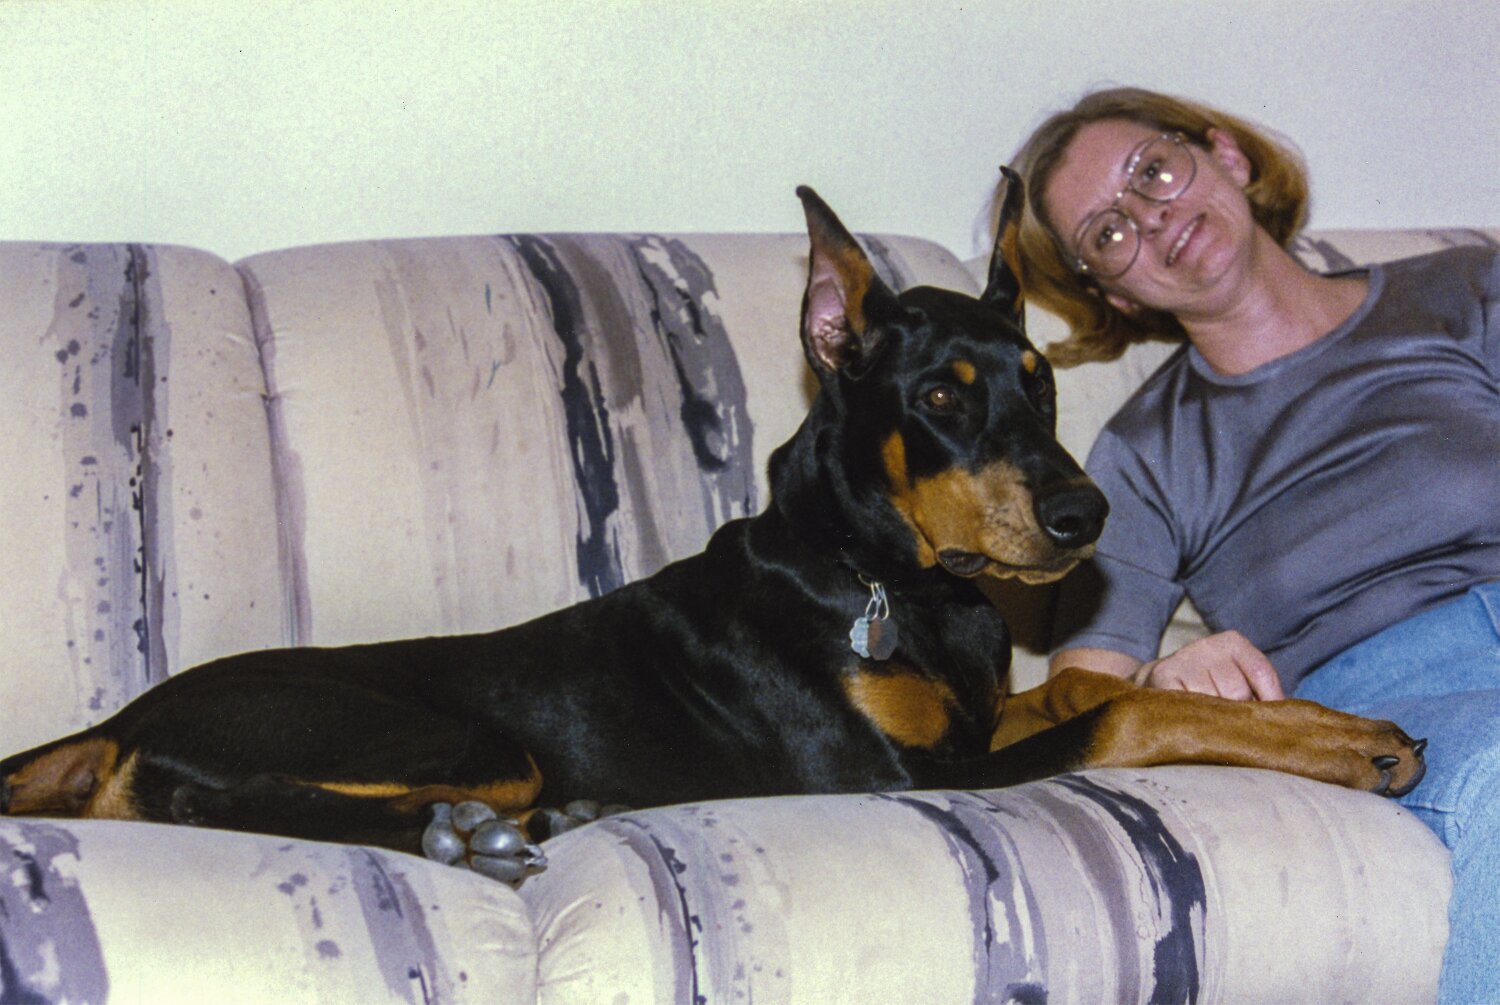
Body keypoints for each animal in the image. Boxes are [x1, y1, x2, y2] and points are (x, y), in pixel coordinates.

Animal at [1, 172, 1425, 883]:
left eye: (1042, 382)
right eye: (942, 396)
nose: (1086, 514)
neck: (891, 581)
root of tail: (125, 714)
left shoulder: (968, 728)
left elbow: (1103, 686)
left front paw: (1323, 723)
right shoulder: (895, 778)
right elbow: (1128, 712)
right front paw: (1343, 740)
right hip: (461, 735)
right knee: (188, 799)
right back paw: (477, 833)